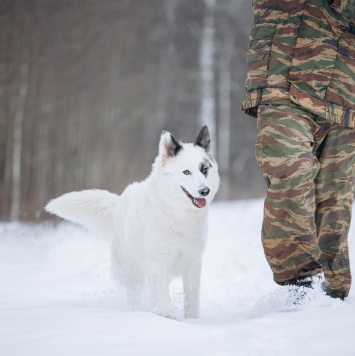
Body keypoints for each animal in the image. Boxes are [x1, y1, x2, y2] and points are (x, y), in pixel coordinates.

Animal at [45, 126, 220, 318]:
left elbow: (192, 296)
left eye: (204, 170)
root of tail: (118, 203)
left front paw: (192, 320)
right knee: (135, 293)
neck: (177, 214)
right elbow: (161, 290)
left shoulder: (193, 262)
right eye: (186, 172)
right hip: (132, 270)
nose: (204, 190)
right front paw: (166, 314)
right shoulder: (157, 260)